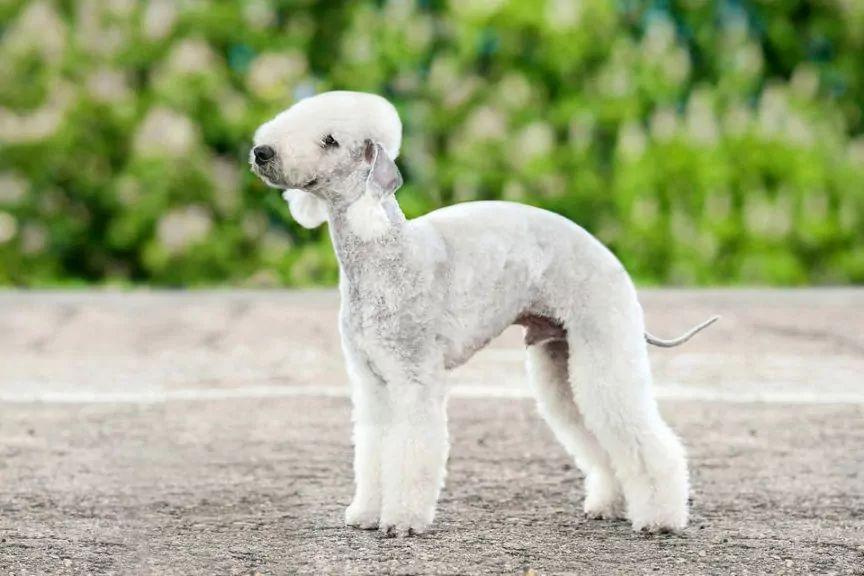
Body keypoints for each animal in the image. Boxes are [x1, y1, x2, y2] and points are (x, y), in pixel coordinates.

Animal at [248, 90, 716, 536]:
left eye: (330, 140)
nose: (261, 152)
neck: (384, 253)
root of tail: (609, 257)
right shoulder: (372, 381)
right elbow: (374, 449)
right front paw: (366, 513)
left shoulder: (414, 378)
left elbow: (412, 450)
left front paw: (401, 520)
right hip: (561, 360)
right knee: (595, 435)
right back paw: (611, 504)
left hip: (604, 346)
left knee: (642, 436)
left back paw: (661, 518)